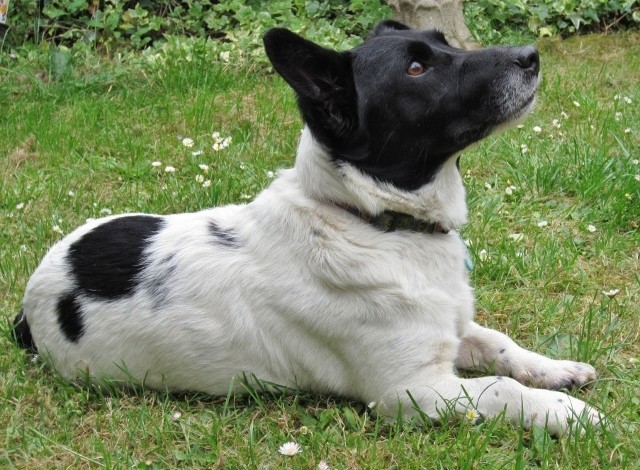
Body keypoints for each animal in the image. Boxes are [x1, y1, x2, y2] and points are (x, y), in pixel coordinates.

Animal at [12, 21, 604, 434]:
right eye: (416, 70)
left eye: (444, 43)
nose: (531, 56)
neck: (375, 222)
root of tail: (33, 293)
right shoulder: (412, 391)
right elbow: (501, 388)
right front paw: (565, 411)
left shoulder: (451, 330)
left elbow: (502, 347)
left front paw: (557, 371)